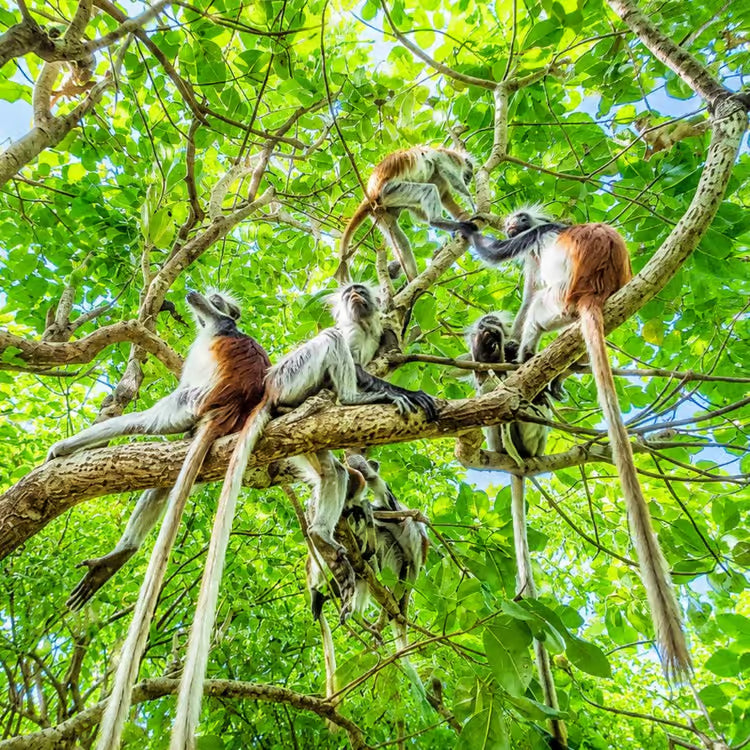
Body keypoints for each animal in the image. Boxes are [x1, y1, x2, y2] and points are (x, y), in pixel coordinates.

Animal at [46, 290, 272, 750]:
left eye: (216, 301)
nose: (197, 295)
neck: (221, 328)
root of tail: (234, 406)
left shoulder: (209, 343)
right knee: (165, 476)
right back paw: (119, 555)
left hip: (193, 401)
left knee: (146, 420)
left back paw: (69, 448)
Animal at [169, 283, 438, 750]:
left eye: (360, 291)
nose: (354, 295)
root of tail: (267, 390)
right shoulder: (349, 337)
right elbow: (352, 358)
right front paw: (384, 391)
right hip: (290, 377)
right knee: (330, 347)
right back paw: (351, 404)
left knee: (334, 472)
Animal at [334, 146, 475, 283]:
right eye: (470, 174)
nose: (469, 180)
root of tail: (371, 193)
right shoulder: (448, 158)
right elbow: (449, 175)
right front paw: (474, 206)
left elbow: (440, 200)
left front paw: (464, 217)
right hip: (391, 190)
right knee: (428, 189)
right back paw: (437, 221)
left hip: (382, 213)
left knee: (402, 241)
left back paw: (412, 278)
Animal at [458, 208, 692, 681]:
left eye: (516, 221)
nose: (509, 225)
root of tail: (595, 293)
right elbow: (524, 293)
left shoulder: (535, 237)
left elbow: (501, 262)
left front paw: (467, 230)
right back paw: (545, 374)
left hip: (559, 306)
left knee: (537, 315)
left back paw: (526, 365)